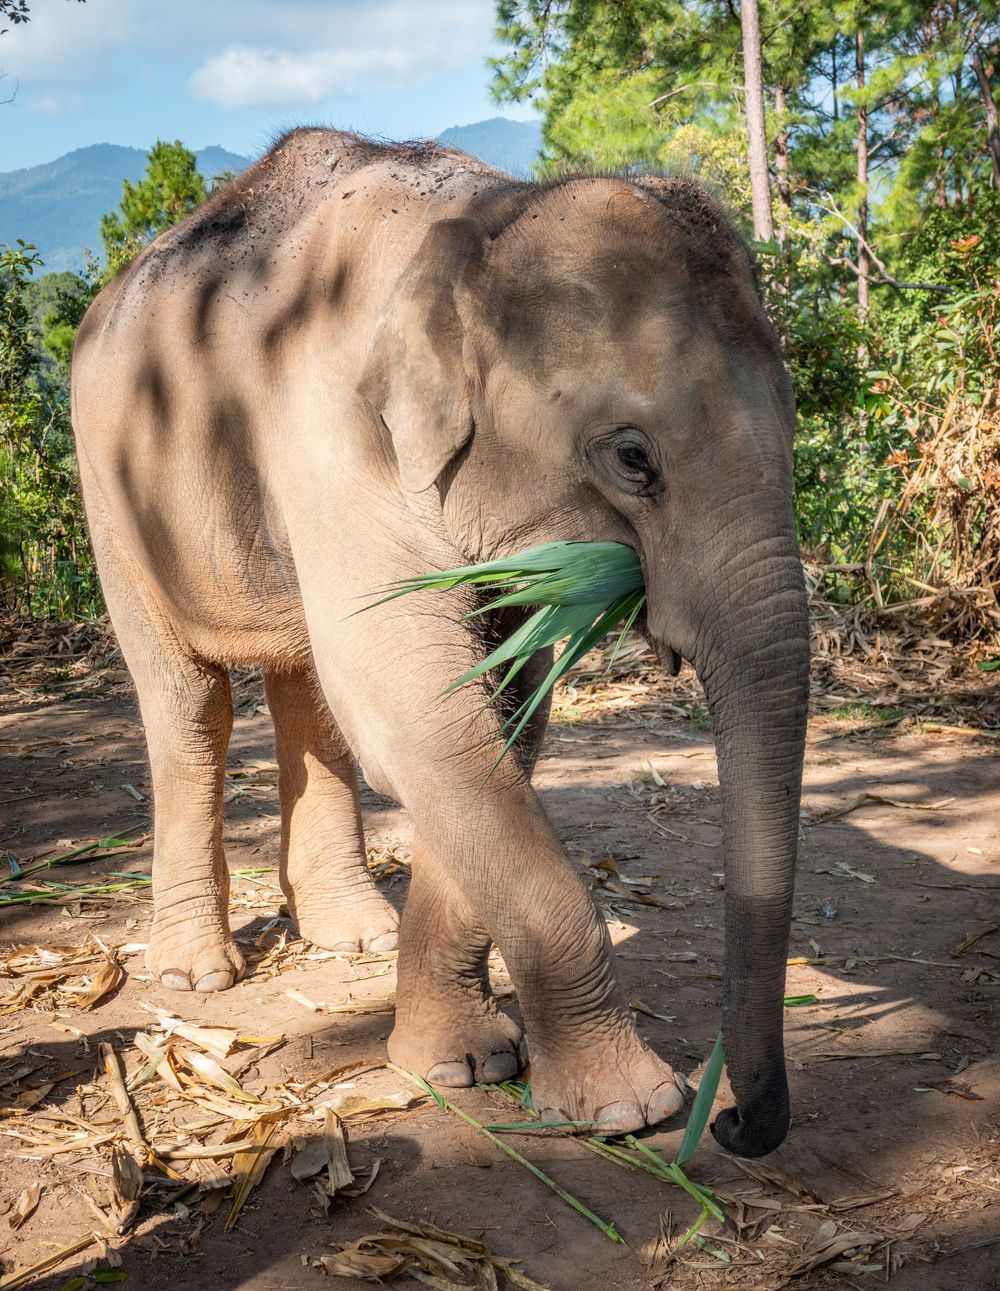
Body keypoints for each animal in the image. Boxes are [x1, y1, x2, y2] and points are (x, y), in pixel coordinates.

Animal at [71, 128, 809, 1157]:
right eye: (633, 458)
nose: (738, 1120)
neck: (483, 218)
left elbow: (493, 708)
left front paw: (458, 1064)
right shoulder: (330, 438)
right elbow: (412, 703)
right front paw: (630, 1108)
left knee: (307, 686)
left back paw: (357, 935)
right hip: (113, 493)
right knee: (189, 702)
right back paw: (196, 972)